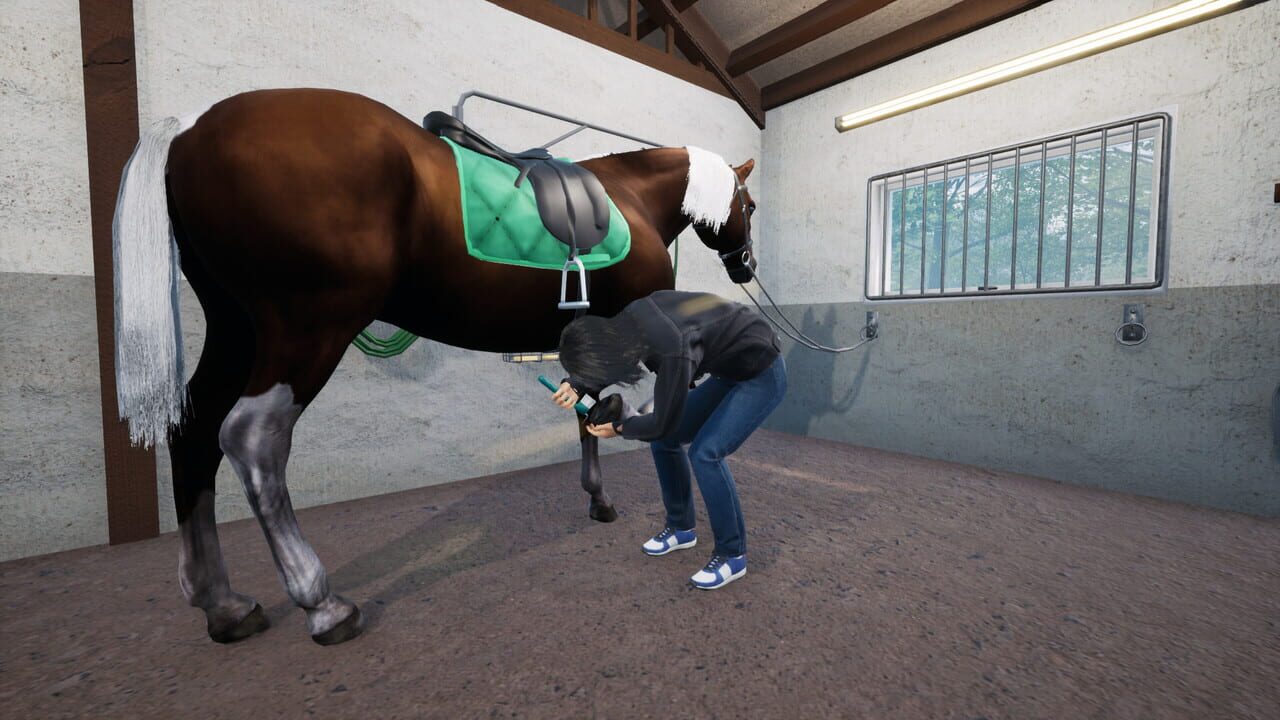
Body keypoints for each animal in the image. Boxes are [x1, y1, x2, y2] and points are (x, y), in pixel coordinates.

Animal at [112, 88, 758, 645]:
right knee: (253, 438)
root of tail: (190, 130)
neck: (631, 198)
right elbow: (621, 411)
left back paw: (222, 604)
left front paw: (598, 501)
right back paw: (323, 605)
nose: (745, 266)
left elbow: (586, 409)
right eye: (748, 205)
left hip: (234, 329)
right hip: (306, 328)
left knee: (193, 431)